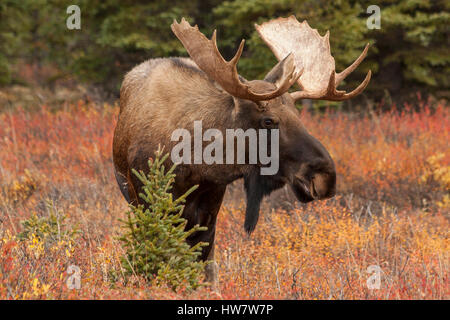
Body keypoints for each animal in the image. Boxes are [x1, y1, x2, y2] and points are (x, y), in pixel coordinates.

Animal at [110, 15, 370, 284]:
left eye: (298, 115)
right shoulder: (149, 199)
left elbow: (206, 269)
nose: (326, 176)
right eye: (268, 121)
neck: (194, 163)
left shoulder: (211, 205)